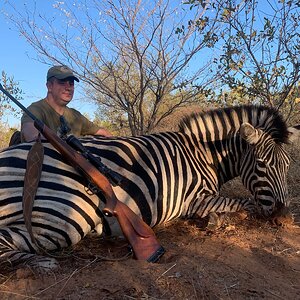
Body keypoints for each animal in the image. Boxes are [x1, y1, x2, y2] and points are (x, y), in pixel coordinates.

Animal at [0, 105, 298, 272]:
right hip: (68, 216)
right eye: (261, 164)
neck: (202, 154)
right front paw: (220, 219)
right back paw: (41, 264)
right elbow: (245, 204)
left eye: (287, 165)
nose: (284, 218)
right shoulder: (194, 200)